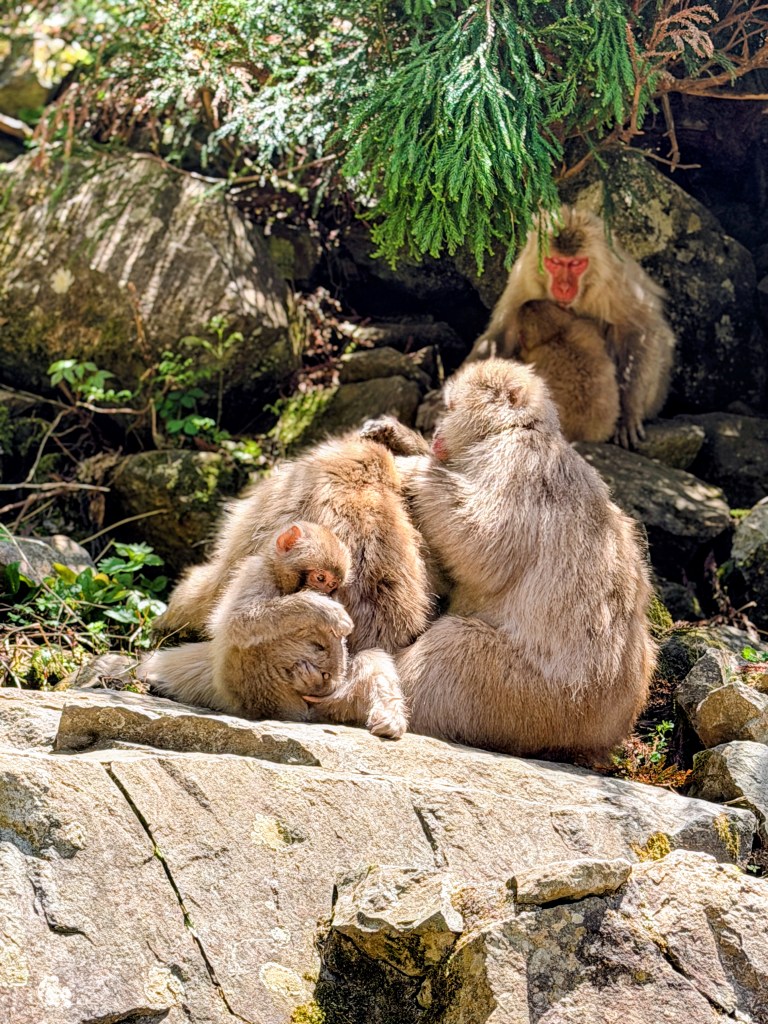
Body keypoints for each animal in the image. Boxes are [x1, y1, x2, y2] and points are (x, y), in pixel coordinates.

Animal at [143, 522, 355, 721]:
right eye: (320, 577)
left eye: (331, 585)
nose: (323, 593)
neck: (280, 581)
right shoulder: (257, 572)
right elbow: (238, 621)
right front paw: (321, 608)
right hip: (259, 690)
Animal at [364, 360, 656, 764]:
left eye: (450, 407)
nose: (437, 429)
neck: (516, 428)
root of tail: (601, 732)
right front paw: (401, 437)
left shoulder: (513, 460)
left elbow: (481, 542)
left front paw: (409, 465)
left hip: (530, 699)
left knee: (453, 650)